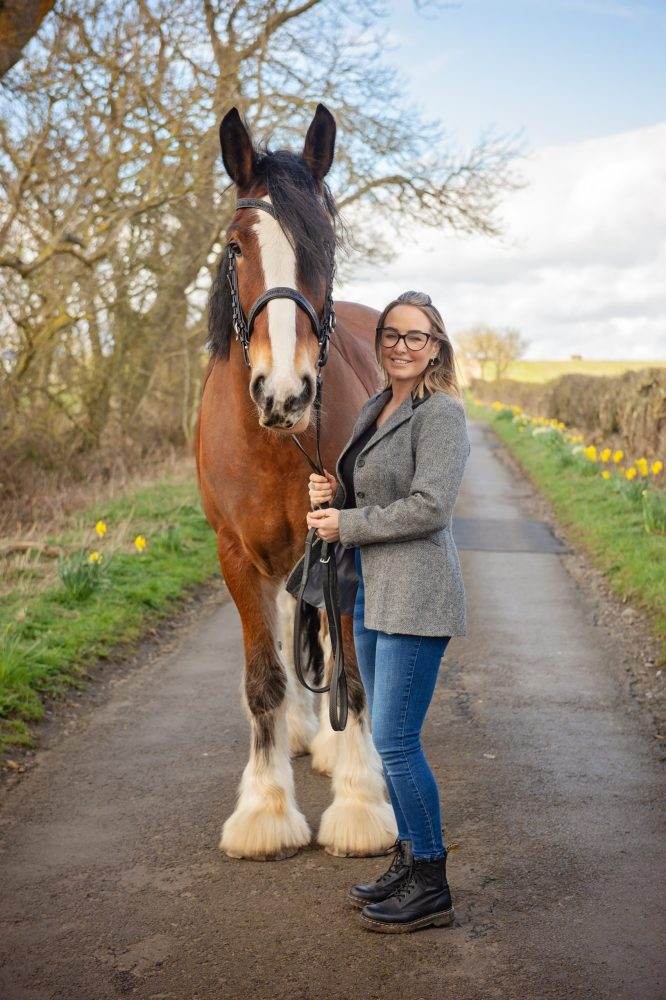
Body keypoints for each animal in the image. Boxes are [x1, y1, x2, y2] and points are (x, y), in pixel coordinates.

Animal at [195, 104, 397, 860]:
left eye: (326, 243)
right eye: (234, 248)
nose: (285, 392)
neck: (274, 439)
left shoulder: (343, 542)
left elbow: (352, 671)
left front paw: (362, 803)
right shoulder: (236, 554)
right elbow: (265, 679)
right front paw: (264, 810)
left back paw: (335, 748)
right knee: (292, 626)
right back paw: (307, 734)